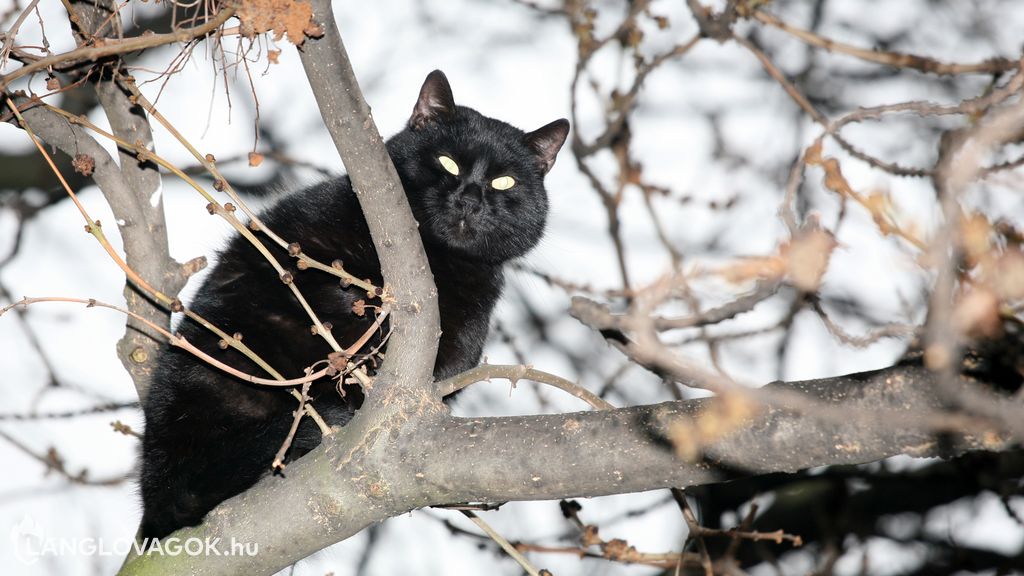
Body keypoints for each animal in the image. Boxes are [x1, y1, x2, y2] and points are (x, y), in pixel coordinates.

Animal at [138, 71, 569, 537]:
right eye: (448, 162)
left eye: (504, 182)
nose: (470, 199)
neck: (437, 260)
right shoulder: (301, 238)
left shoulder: (463, 340)